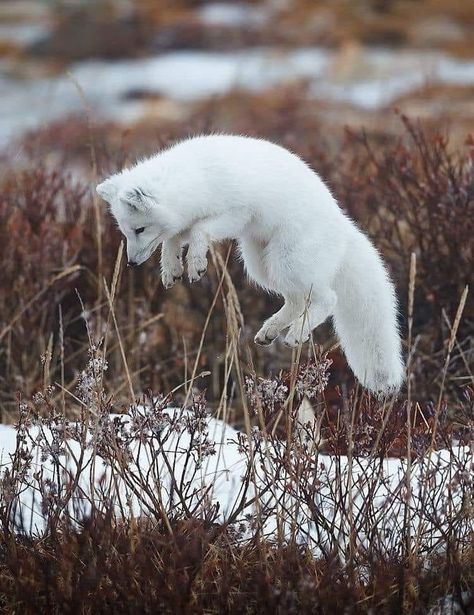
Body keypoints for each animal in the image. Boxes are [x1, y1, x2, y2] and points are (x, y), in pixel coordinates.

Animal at [96, 135, 404, 394]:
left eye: (140, 229)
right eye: (125, 232)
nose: (132, 263)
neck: (196, 180)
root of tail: (343, 227)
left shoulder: (234, 215)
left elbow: (198, 232)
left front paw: (195, 264)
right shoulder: (182, 222)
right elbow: (172, 239)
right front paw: (171, 269)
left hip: (286, 262)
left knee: (327, 299)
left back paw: (297, 334)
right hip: (261, 267)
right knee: (296, 300)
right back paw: (270, 332)